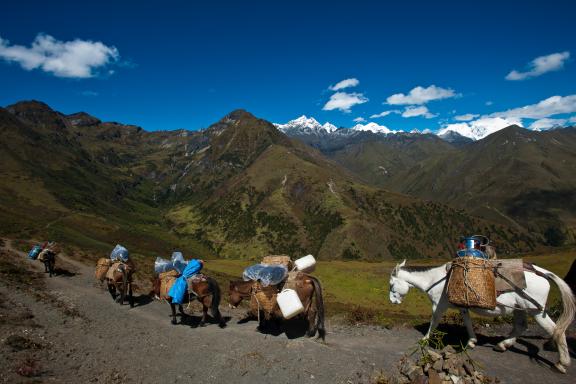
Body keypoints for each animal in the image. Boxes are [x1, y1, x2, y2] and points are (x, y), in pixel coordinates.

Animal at [390, 260, 572, 374]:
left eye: (391, 285)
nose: (392, 301)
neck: (435, 279)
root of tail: (541, 272)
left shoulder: (439, 305)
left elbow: (433, 322)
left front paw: (424, 339)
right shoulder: (463, 308)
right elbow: (468, 323)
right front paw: (472, 341)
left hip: (536, 310)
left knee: (556, 330)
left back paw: (561, 363)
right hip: (521, 307)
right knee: (521, 326)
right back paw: (502, 345)